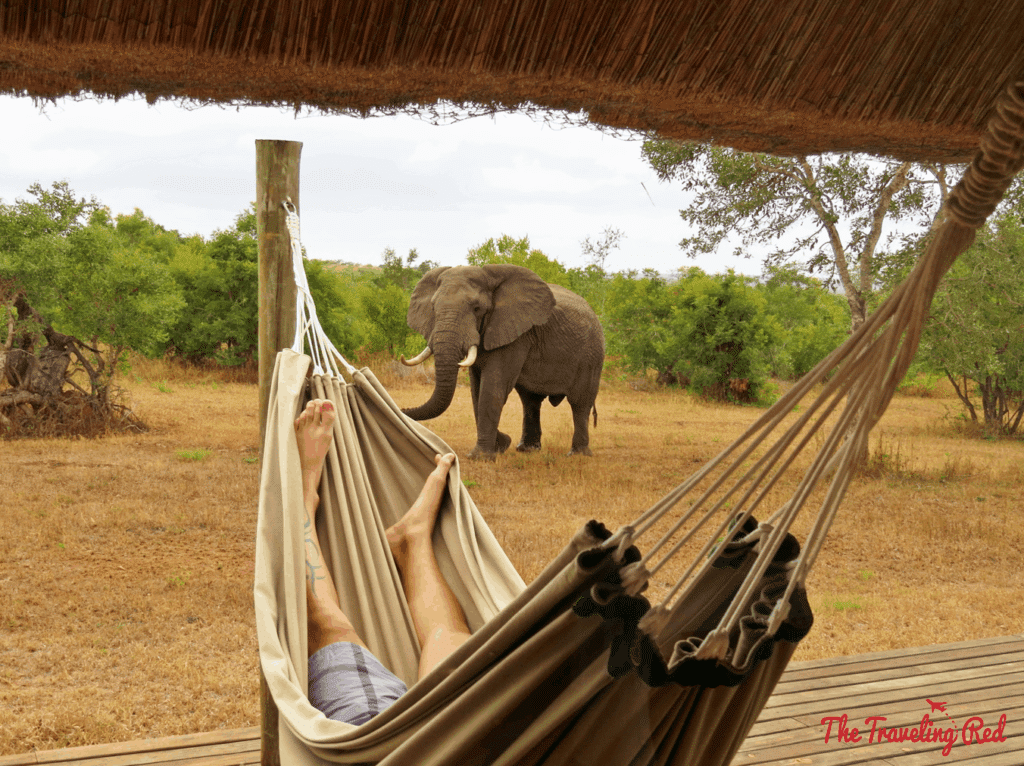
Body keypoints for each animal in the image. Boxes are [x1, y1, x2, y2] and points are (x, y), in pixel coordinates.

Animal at [400, 264, 605, 460]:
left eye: (477, 308)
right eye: (433, 308)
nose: (401, 409)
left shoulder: (516, 334)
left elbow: (492, 388)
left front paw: (481, 457)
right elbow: (476, 392)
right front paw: (501, 446)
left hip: (592, 355)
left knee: (580, 403)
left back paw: (577, 454)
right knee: (530, 400)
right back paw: (527, 449)